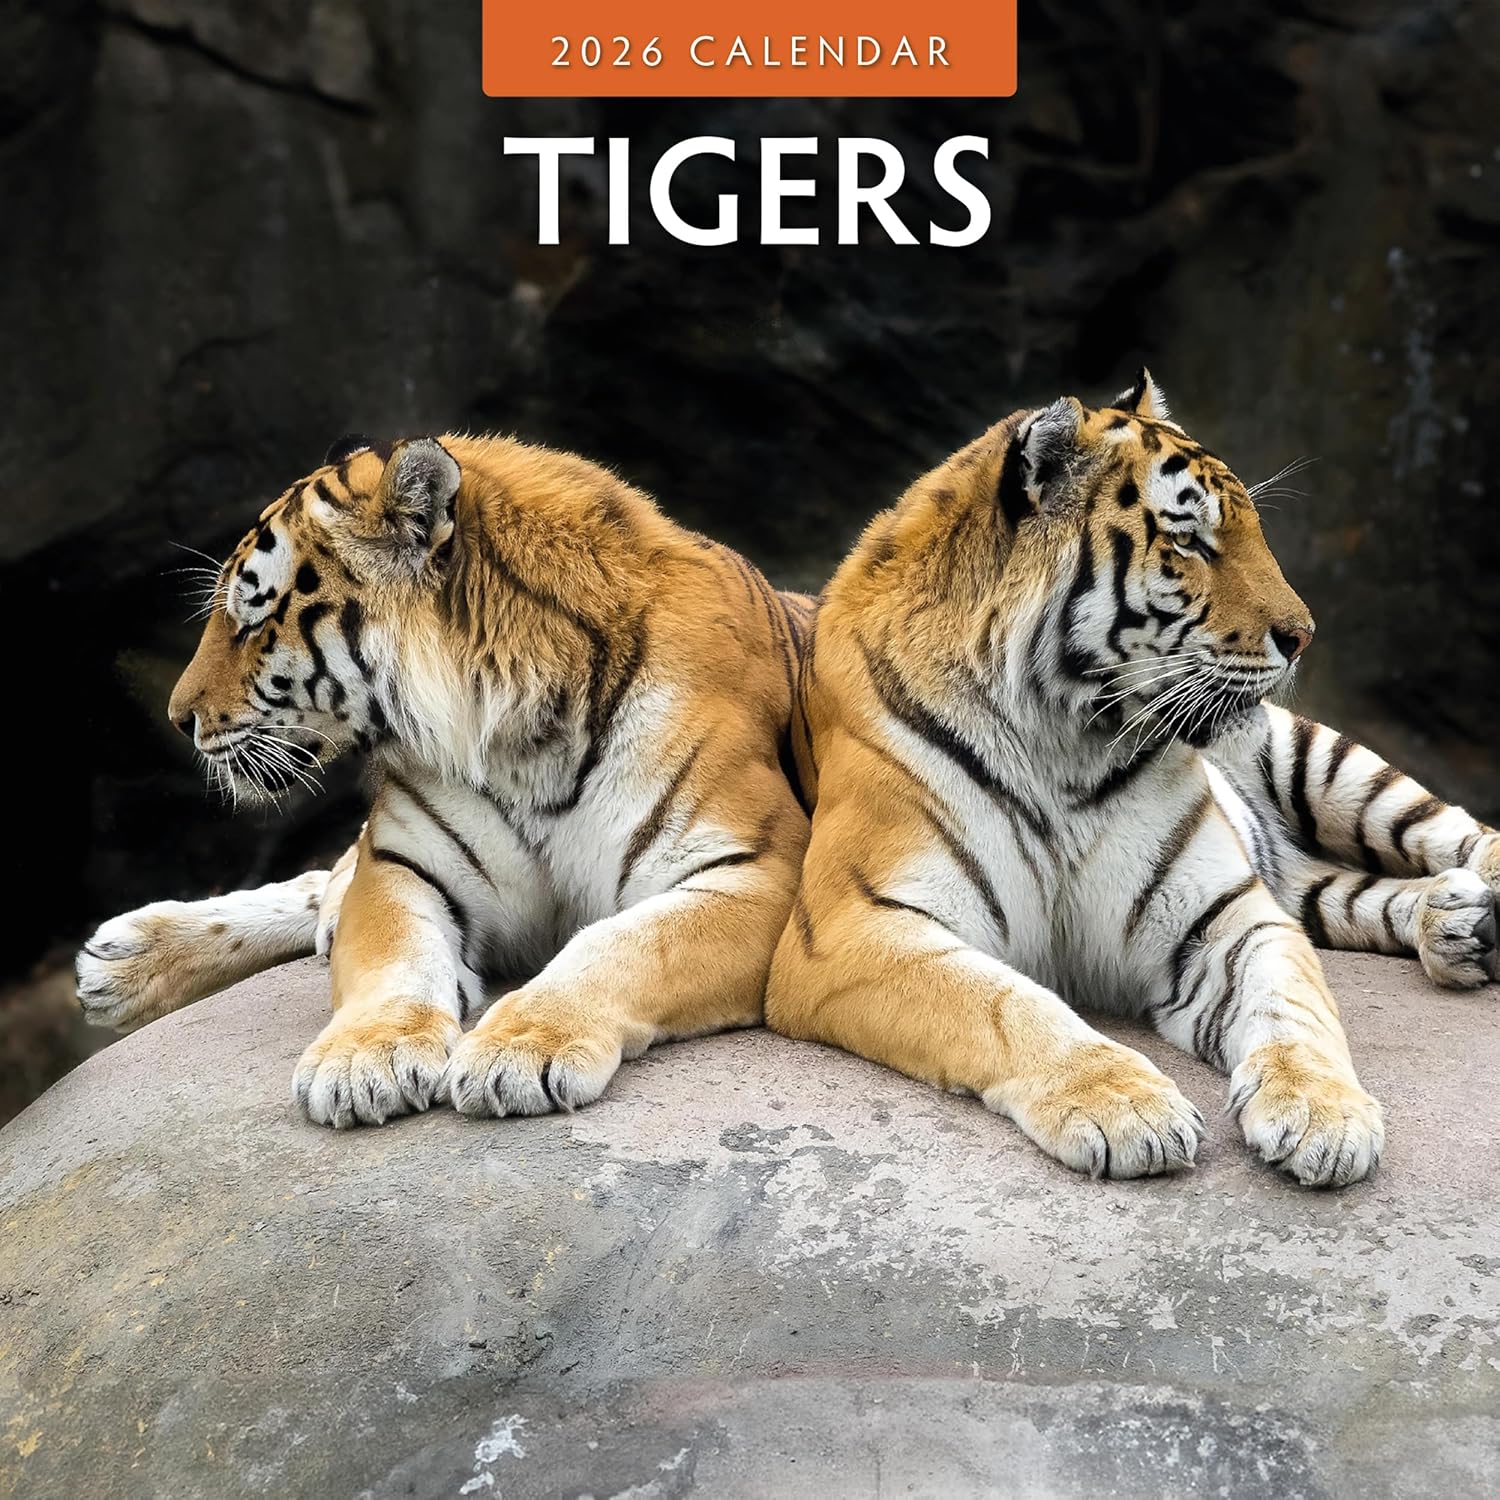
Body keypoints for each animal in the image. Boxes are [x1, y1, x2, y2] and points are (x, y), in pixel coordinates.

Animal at [76, 433, 812, 1127]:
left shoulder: (758, 872)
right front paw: (364, 1061)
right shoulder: (403, 864)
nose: (179, 720)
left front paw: (518, 1050)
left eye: (252, 619)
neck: (521, 735)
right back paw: (124, 958)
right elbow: (394, 957)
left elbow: (618, 945)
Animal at [767, 371, 1498, 1188]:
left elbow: (1295, 1008)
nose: (1304, 637)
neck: (1062, 738)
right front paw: (1128, 1108)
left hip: (1321, 760)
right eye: (1189, 539)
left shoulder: (1226, 914)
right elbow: (1003, 1006)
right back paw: (1456, 924)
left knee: (1455, 830)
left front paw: (1324, 1114)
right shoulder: (854, 924)